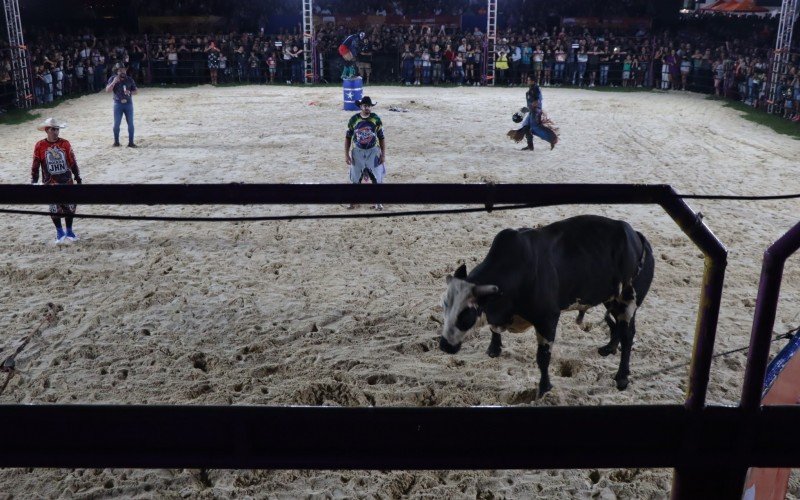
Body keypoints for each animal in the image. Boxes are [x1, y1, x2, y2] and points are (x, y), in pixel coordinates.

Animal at [440, 214, 652, 394]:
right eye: (444, 305)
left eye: (466, 313)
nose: (444, 345)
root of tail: (636, 237)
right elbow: (494, 329)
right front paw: (494, 349)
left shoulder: (547, 319)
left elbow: (543, 357)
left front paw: (544, 388)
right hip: (610, 299)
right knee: (618, 327)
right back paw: (609, 348)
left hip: (627, 301)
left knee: (628, 335)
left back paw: (622, 377)